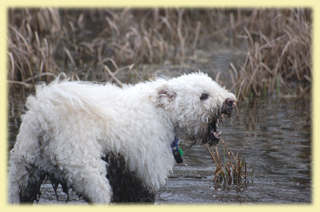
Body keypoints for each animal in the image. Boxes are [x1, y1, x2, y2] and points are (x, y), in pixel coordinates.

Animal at [8, 72, 236, 204]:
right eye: (203, 95)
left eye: (216, 87)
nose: (230, 101)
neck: (162, 113)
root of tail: (43, 115)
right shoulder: (146, 171)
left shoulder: (125, 172)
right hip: (84, 168)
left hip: (24, 172)